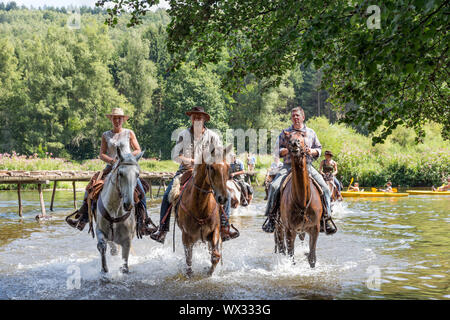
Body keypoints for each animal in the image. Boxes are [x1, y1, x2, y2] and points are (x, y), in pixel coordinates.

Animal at [176, 146, 232, 276]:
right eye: (211, 167)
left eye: (228, 167)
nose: (223, 198)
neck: (200, 207)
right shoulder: (186, 236)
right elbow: (189, 261)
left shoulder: (214, 231)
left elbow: (215, 256)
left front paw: (209, 272)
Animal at [274, 130, 324, 268]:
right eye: (288, 138)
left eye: (302, 136)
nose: (294, 143)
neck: (302, 200)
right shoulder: (289, 230)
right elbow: (291, 257)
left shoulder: (315, 228)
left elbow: (312, 258)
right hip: (280, 228)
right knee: (282, 249)